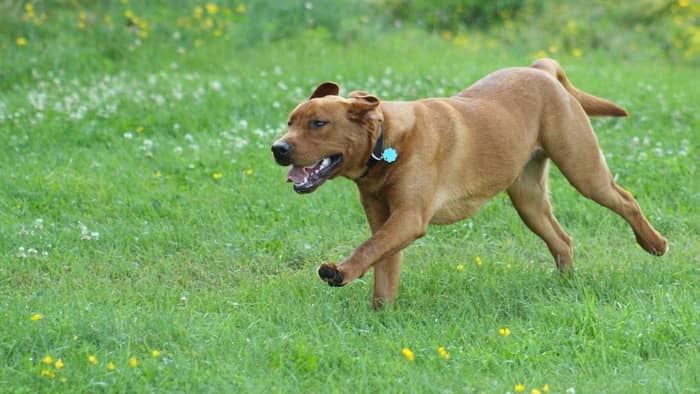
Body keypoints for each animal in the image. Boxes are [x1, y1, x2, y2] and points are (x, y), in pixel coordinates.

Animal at [270, 59, 668, 310]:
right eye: (290, 122)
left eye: (318, 123)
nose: (278, 148)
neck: (386, 144)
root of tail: (540, 70)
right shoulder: (386, 220)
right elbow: (383, 266)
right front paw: (380, 315)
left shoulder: (409, 218)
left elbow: (368, 249)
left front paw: (340, 272)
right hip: (528, 200)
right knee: (562, 240)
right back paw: (567, 285)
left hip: (583, 170)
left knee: (626, 200)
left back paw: (654, 243)